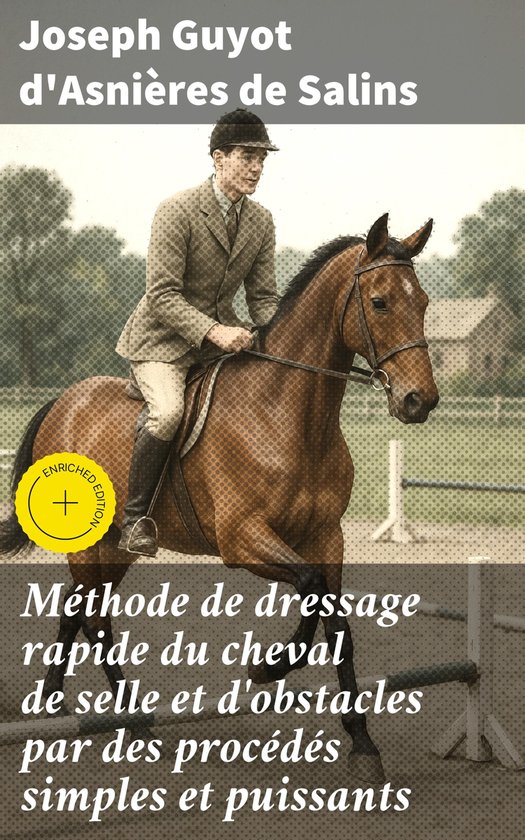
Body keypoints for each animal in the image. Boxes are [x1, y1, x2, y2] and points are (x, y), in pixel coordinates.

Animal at [1, 213, 438, 783]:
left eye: (423, 302)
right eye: (381, 301)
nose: (419, 401)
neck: (290, 416)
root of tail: (63, 401)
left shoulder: (327, 537)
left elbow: (337, 622)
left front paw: (362, 743)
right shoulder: (242, 539)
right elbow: (310, 587)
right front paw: (266, 667)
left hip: (114, 548)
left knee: (79, 608)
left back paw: (59, 705)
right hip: (90, 544)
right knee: (95, 619)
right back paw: (132, 721)